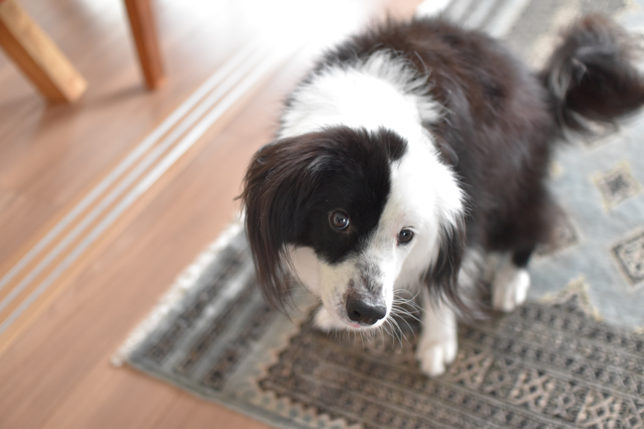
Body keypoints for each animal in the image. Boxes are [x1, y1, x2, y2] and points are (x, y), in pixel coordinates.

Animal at [240, 14, 644, 374]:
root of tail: (542, 87)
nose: (368, 312)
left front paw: (437, 344)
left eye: (406, 235)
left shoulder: (467, 211)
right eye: (339, 220)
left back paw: (510, 281)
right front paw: (332, 314)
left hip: (516, 183)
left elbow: (442, 282)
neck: (369, 110)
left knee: (535, 220)